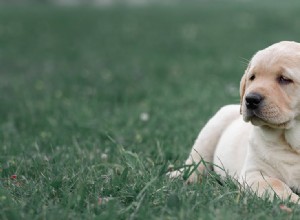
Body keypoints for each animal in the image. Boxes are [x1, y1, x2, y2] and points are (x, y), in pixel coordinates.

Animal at [170, 40, 300, 203]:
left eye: (284, 79)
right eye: (252, 77)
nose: (250, 99)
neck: (291, 143)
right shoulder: (253, 174)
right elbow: (277, 185)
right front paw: (295, 202)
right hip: (211, 131)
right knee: (195, 163)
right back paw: (178, 176)